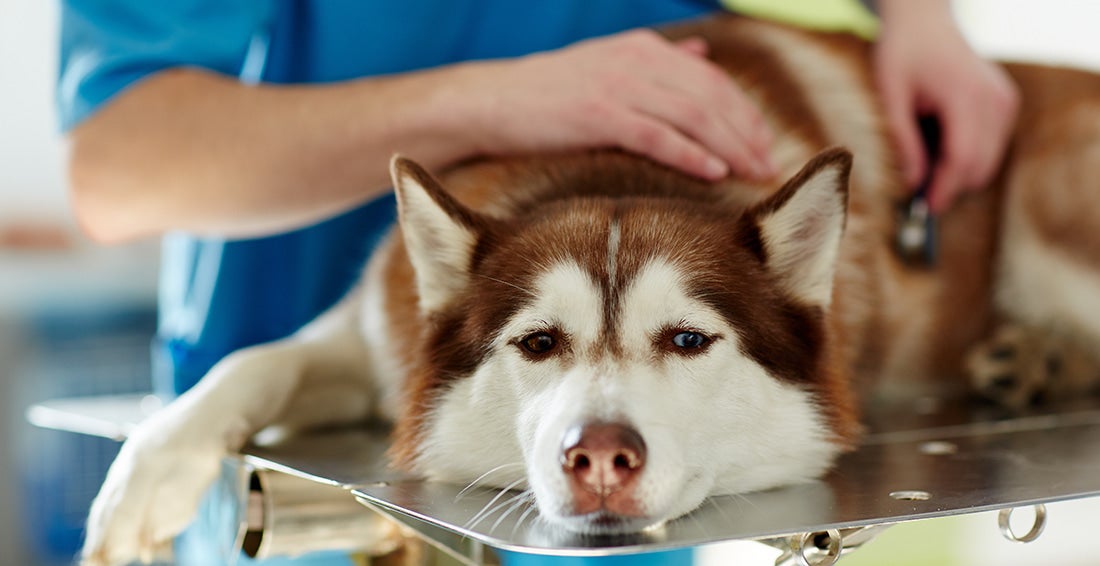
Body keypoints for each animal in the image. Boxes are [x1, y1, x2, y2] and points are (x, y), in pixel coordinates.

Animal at [81, 14, 1095, 566]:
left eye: (687, 340)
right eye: (538, 343)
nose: (599, 456)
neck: (610, 164)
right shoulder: (375, 335)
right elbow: (253, 363)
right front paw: (145, 479)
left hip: (1049, 198)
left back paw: (1044, 357)